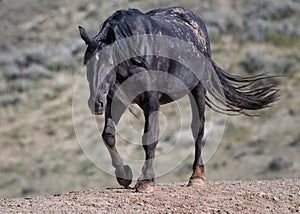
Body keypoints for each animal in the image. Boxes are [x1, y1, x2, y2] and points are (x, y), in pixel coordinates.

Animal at [78, 7, 278, 192]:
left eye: (109, 63)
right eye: (87, 64)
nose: (95, 103)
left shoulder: (151, 100)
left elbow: (150, 138)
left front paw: (146, 182)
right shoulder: (116, 100)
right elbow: (109, 135)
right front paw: (124, 175)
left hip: (198, 89)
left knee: (198, 129)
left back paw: (196, 177)